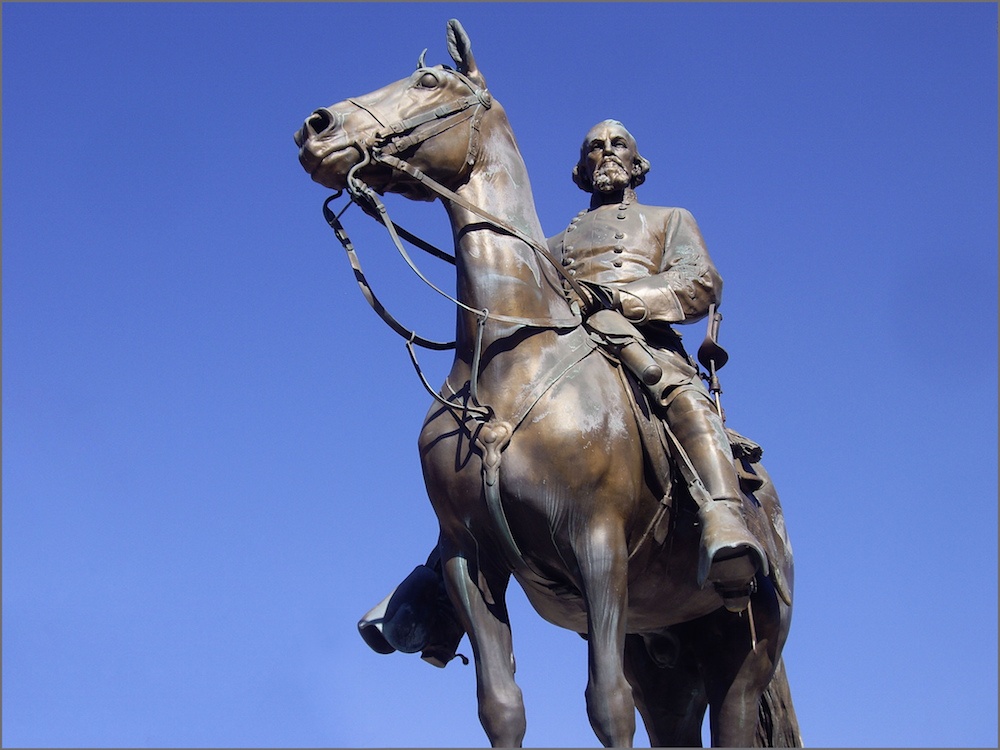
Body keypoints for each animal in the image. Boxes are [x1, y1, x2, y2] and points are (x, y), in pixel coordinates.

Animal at [292, 20, 800, 748]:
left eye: (428, 81)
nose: (316, 126)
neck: (508, 358)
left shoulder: (597, 544)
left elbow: (606, 705)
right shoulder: (469, 556)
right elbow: (501, 707)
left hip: (744, 651)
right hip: (666, 654)